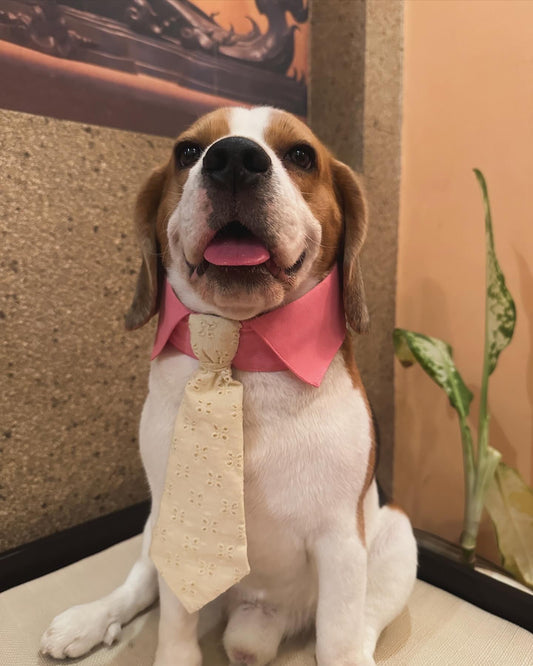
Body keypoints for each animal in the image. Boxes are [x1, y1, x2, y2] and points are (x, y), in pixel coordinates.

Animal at [41, 106, 416, 660]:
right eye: (187, 152)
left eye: (301, 154)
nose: (234, 158)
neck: (240, 349)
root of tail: (260, 617)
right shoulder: (177, 523)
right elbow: (174, 623)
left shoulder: (342, 542)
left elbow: (338, 638)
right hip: (154, 528)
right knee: (138, 587)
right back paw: (89, 620)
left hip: (396, 539)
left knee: (363, 624)